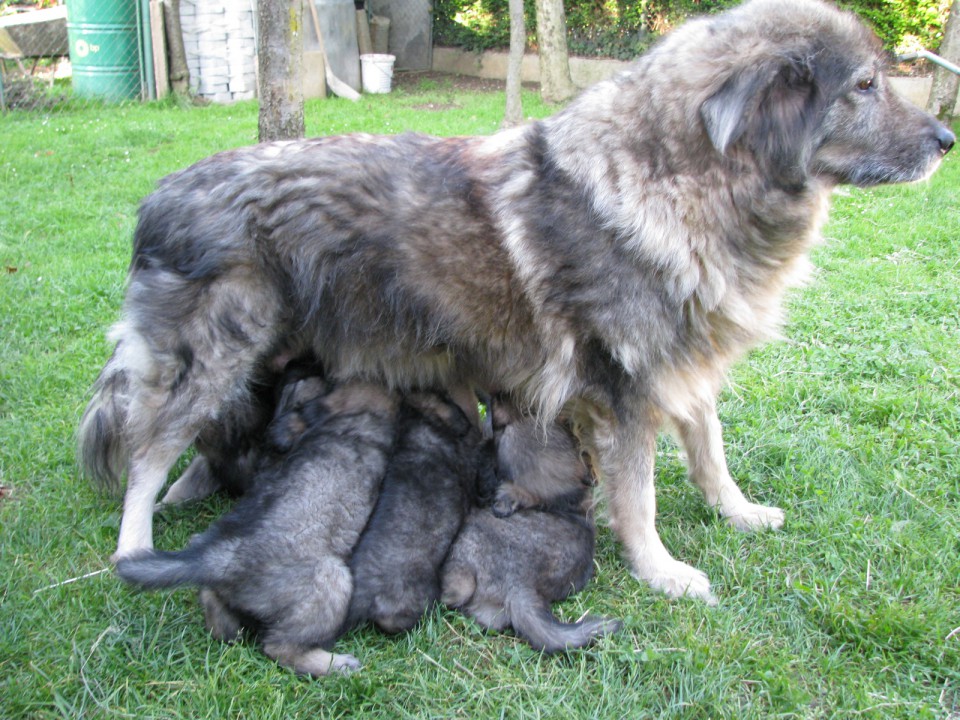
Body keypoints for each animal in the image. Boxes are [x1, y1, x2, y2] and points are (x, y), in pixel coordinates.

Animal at [80, 0, 952, 600]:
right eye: (865, 87)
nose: (947, 141)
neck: (685, 177)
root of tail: (157, 200)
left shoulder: (681, 361)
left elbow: (711, 448)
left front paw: (737, 512)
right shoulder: (625, 390)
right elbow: (640, 498)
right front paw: (661, 571)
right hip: (211, 361)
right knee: (147, 455)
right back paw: (136, 547)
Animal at [117, 380, 402, 676]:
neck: (349, 423)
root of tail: (221, 560)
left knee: (218, 612)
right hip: (331, 582)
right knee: (280, 647)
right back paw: (336, 664)